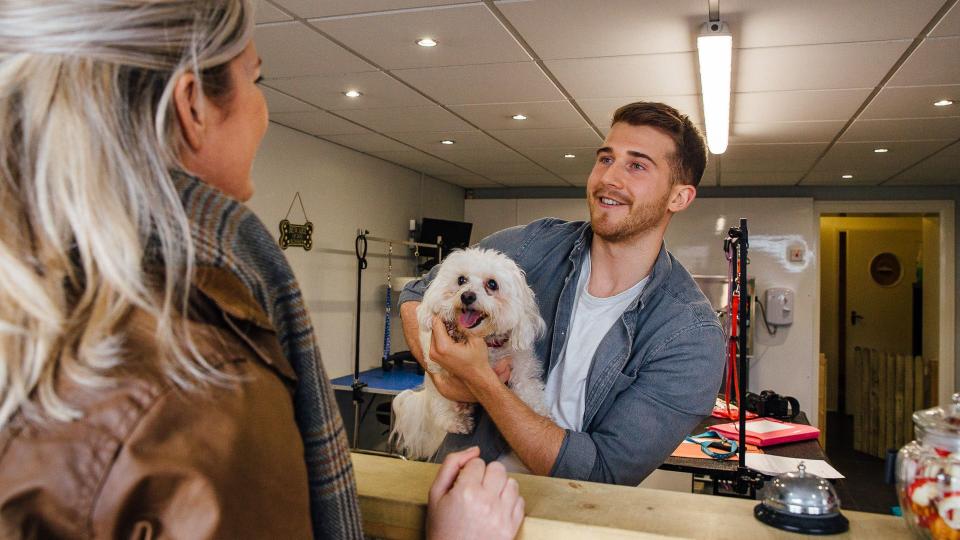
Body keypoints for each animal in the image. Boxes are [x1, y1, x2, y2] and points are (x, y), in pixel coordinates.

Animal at [390, 249, 548, 460]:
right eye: (461, 280)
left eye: (492, 284)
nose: (467, 296)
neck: (486, 343)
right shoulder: (439, 366)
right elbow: (442, 393)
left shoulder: (521, 365)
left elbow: (527, 387)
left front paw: (540, 412)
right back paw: (457, 421)